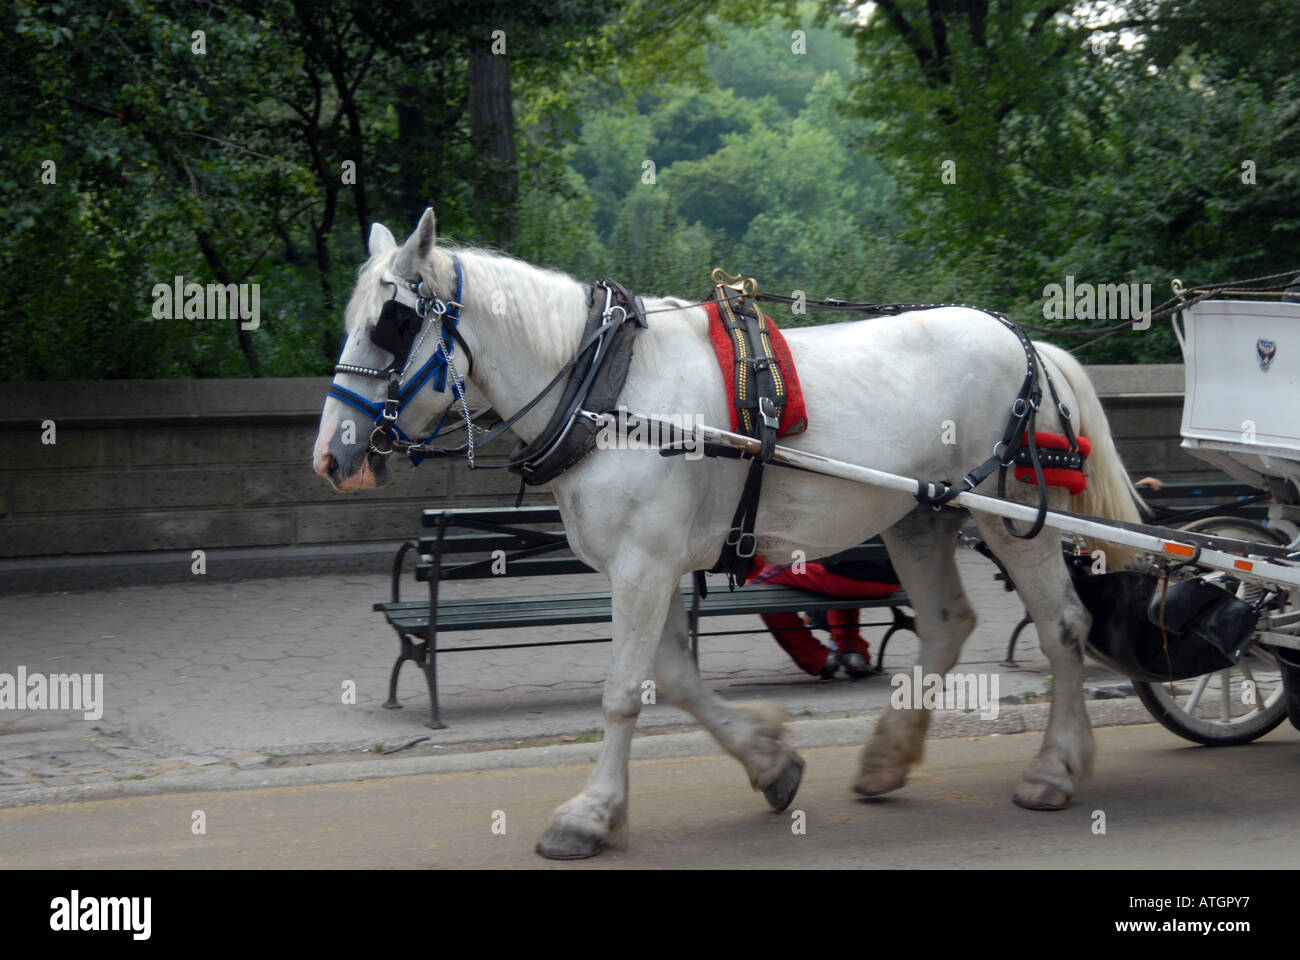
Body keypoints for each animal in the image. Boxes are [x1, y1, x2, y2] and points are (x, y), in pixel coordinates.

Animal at [313, 208, 1144, 859]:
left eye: (392, 323)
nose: (333, 456)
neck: (606, 390)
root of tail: (1031, 347)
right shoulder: (645, 567)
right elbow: (675, 679)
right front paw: (769, 762)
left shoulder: (644, 564)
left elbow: (623, 691)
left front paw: (589, 815)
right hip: (921, 513)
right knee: (947, 622)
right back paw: (887, 755)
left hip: (1014, 513)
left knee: (1063, 625)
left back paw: (1054, 768)